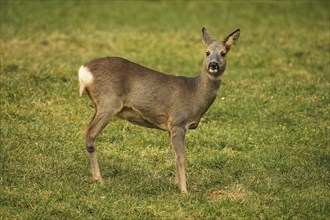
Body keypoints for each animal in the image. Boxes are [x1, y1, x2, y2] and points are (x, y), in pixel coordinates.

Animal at [80, 27, 240, 192]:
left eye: (223, 53)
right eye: (207, 52)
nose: (213, 64)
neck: (195, 93)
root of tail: (84, 70)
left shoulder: (171, 127)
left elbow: (174, 156)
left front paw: (177, 184)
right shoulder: (178, 122)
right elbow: (181, 157)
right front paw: (184, 190)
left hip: (98, 105)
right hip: (109, 102)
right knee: (90, 134)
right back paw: (99, 179)